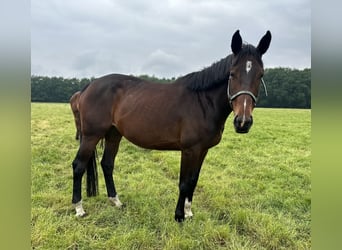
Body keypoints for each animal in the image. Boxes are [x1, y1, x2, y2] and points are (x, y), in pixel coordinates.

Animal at [71, 29, 272, 223]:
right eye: (232, 74)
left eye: (260, 75)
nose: (243, 122)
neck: (203, 102)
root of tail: (88, 87)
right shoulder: (190, 150)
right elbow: (184, 182)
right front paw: (179, 216)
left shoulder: (203, 150)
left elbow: (193, 180)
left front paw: (189, 212)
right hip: (91, 135)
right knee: (78, 166)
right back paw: (79, 208)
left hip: (114, 134)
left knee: (107, 164)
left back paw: (116, 201)